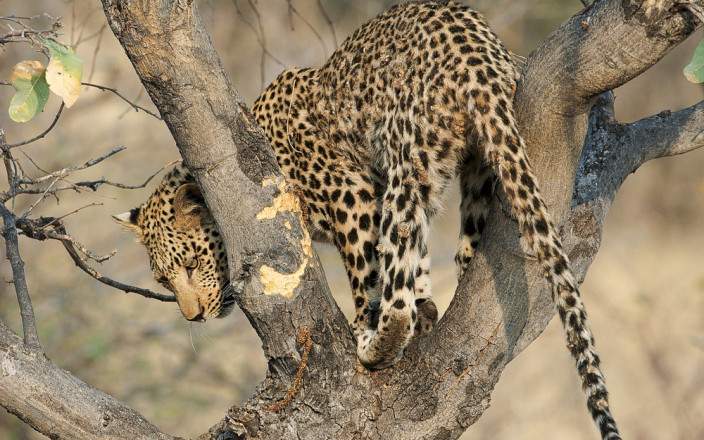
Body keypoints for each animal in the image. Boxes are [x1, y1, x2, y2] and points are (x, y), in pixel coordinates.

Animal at [113, 1, 620, 438]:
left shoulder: (353, 195)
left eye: (192, 263)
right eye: (163, 279)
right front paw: (426, 306)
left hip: (401, 156)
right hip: (469, 163)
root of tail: (477, 48)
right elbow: (415, 259)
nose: (193, 315)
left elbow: (371, 270)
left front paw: (371, 322)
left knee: (392, 283)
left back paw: (375, 342)